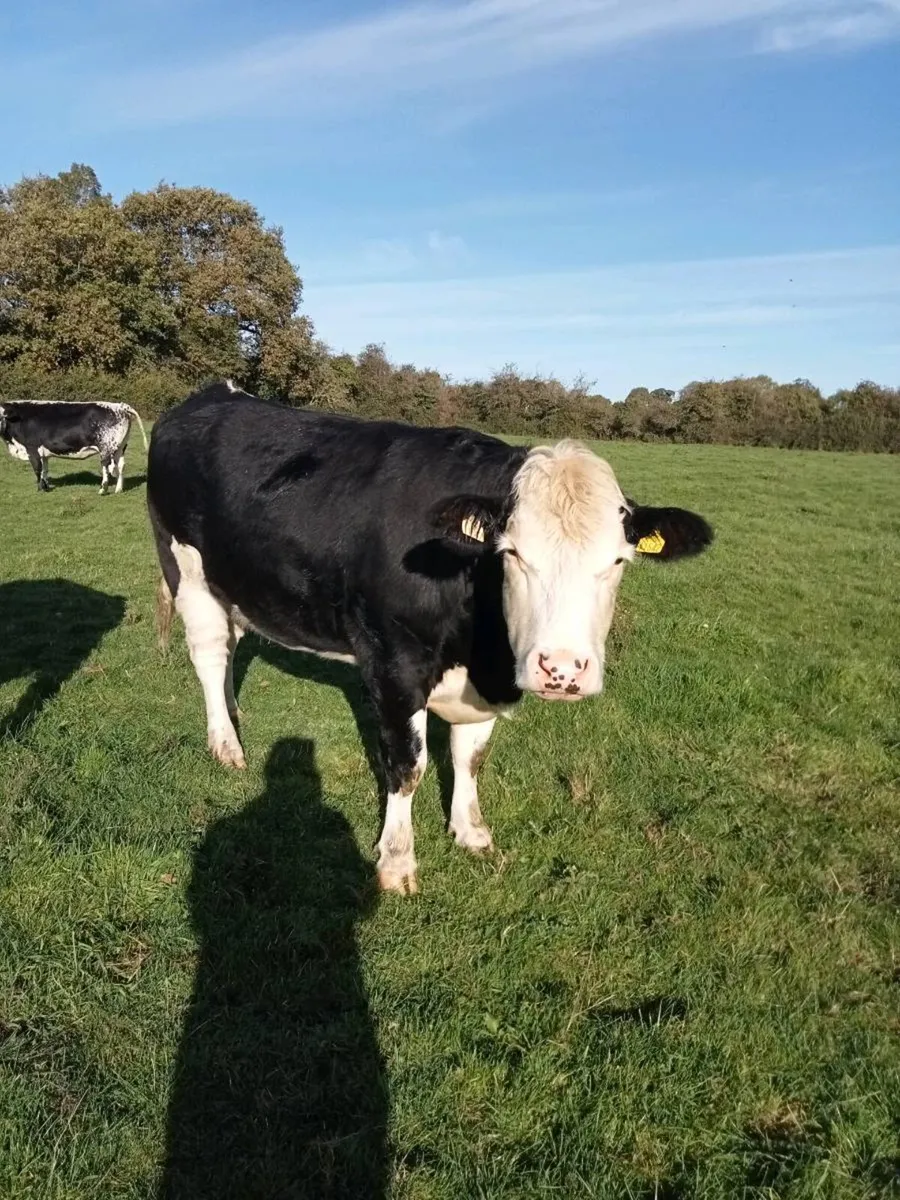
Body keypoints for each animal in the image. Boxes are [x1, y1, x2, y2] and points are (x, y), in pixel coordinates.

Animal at [0, 399, 148, 494]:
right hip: (120, 447)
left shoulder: (32, 450)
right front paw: (46, 486)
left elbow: (37, 470)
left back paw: (102, 489)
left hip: (106, 447)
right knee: (120, 466)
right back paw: (118, 489)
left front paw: (41, 489)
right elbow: (45, 470)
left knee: (106, 466)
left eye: (0, 415)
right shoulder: (43, 453)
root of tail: (120, 406)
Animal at [148, 382, 713, 894]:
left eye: (618, 561)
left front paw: (471, 831)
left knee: (232, 645)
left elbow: (471, 756)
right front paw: (397, 861)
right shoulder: (394, 664)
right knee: (210, 655)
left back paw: (233, 714)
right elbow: (407, 766)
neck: (483, 648)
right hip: (187, 571)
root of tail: (213, 393)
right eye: (513, 553)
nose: (561, 669)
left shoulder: (483, 686)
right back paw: (225, 743)